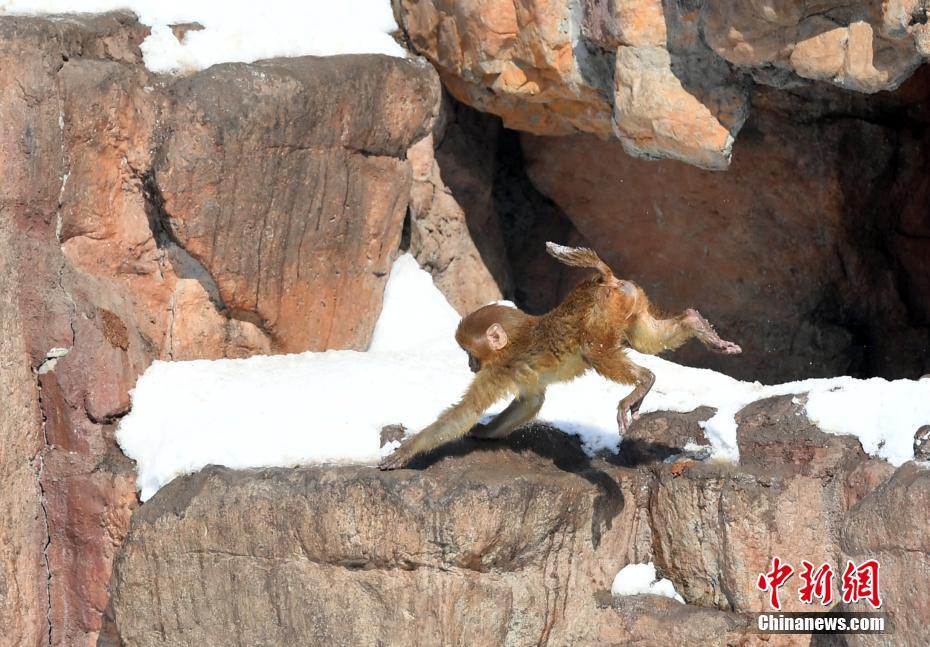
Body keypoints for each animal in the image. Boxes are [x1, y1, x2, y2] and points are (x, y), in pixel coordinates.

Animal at [376, 243, 740, 470]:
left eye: (469, 353)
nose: (469, 365)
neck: (516, 337)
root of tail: (605, 281)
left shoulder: (498, 370)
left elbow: (464, 413)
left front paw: (408, 450)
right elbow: (531, 401)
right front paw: (486, 432)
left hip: (601, 317)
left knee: (594, 351)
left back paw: (643, 381)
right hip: (631, 305)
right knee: (646, 338)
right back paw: (697, 325)